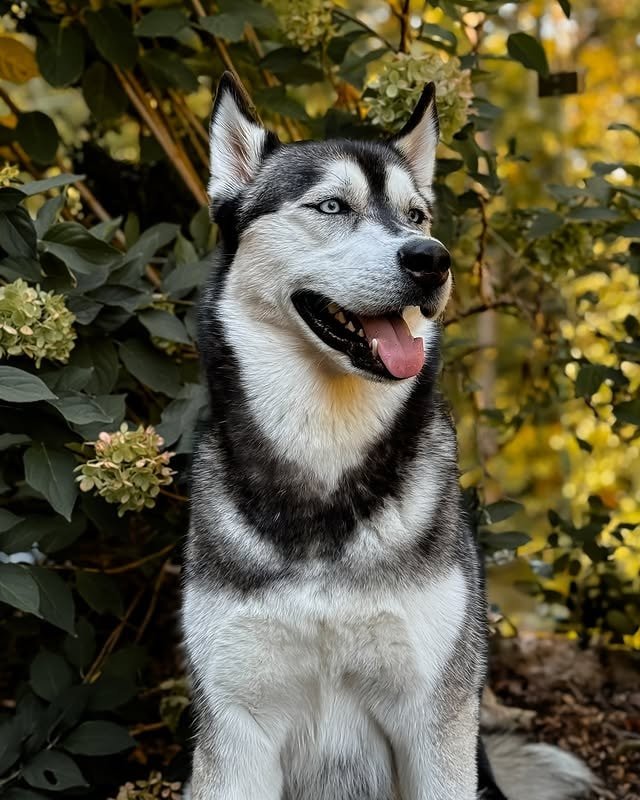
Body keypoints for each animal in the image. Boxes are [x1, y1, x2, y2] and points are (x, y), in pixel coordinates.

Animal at [182, 70, 592, 800]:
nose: (432, 260)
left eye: (417, 215)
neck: (326, 452)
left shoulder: (435, 722)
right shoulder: (235, 731)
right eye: (331, 205)